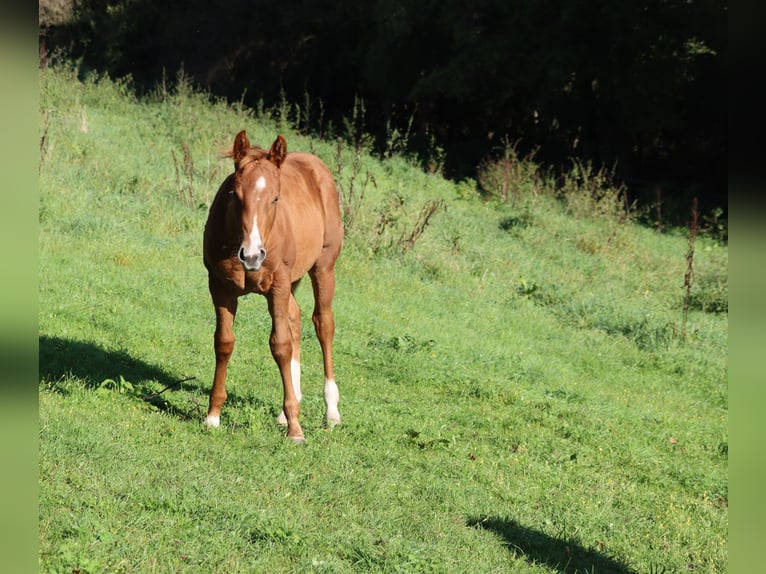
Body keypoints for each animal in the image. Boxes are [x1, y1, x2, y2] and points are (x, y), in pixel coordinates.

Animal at [206, 132, 346, 446]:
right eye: (235, 195)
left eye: (276, 198)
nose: (252, 256)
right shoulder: (219, 287)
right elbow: (224, 342)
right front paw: (212, 416)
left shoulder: (278, 286)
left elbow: (280, 345)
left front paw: (296, 429)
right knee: (295, 318)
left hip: (323, 268)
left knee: (323, 324)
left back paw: (331, 412)